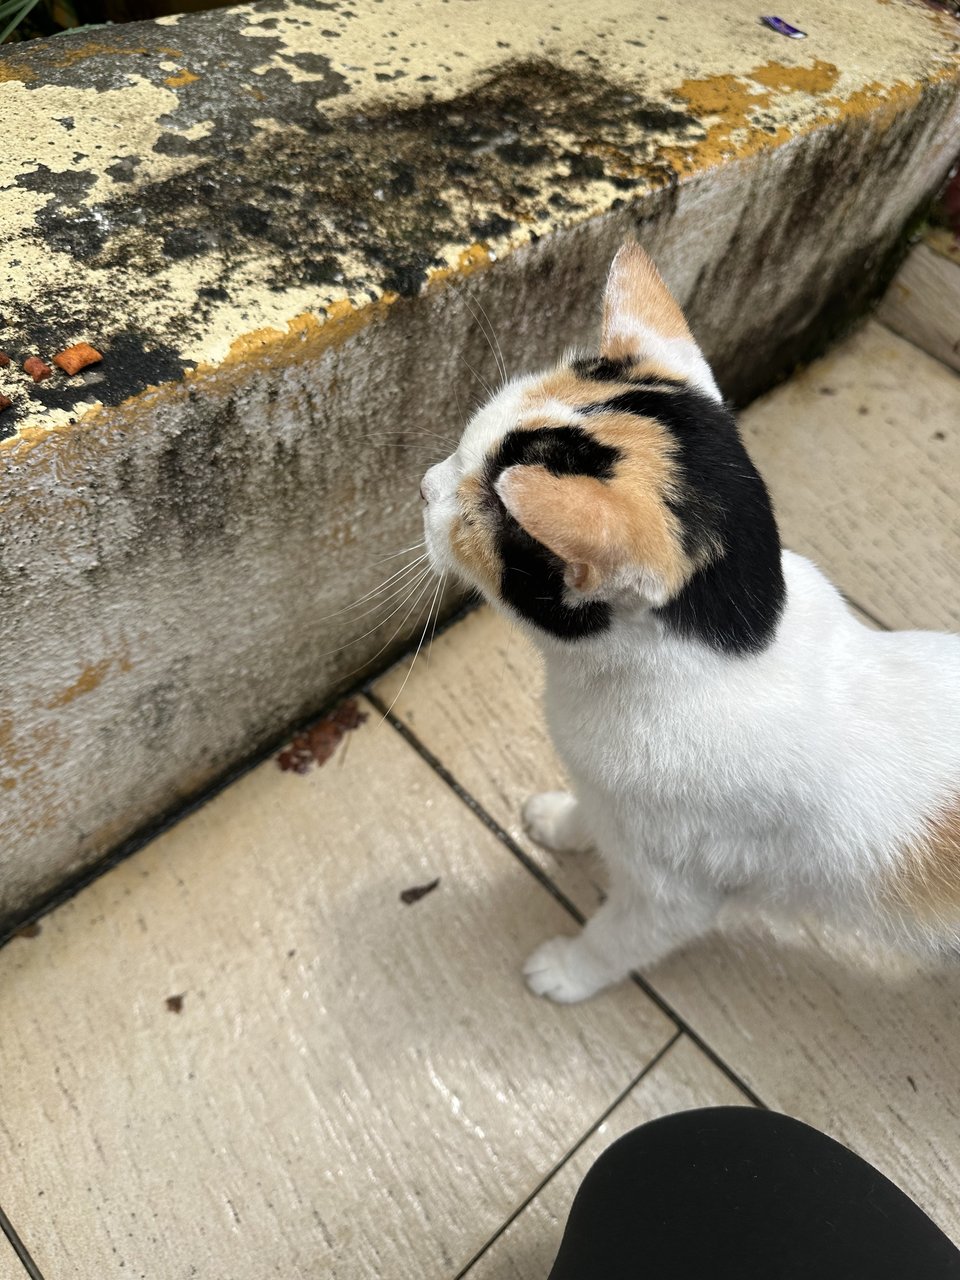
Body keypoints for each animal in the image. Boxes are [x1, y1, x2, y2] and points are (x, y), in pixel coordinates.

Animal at [419, 240, 960, 998]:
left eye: (473, 517)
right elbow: (592, 811)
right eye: (462, 444)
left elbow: (621, 937)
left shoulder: (676, 893)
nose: (424, 485)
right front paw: (563, 821)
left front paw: (568, 970)